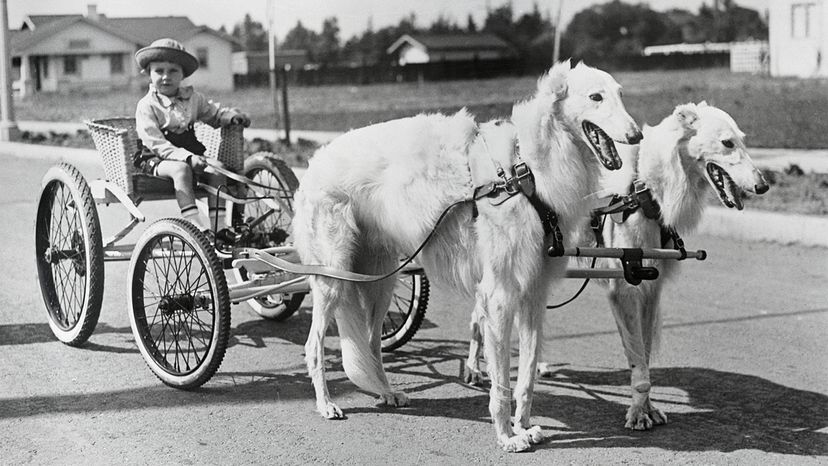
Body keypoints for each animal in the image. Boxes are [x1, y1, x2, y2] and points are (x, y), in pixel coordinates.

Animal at [294, 60, 644, 450]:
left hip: (379, 280)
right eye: (595, 97)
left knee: (371, 344)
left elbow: (527, 375)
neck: (527, 169)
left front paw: (524, 426)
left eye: (620, 94)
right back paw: (327, 404)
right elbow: (502, 380)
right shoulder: (500, 295)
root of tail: (314, 162)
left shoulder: (534, 294)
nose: (637, 136)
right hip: (333, 277)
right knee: (314, 345)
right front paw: (507, 436)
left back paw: (387, 392)